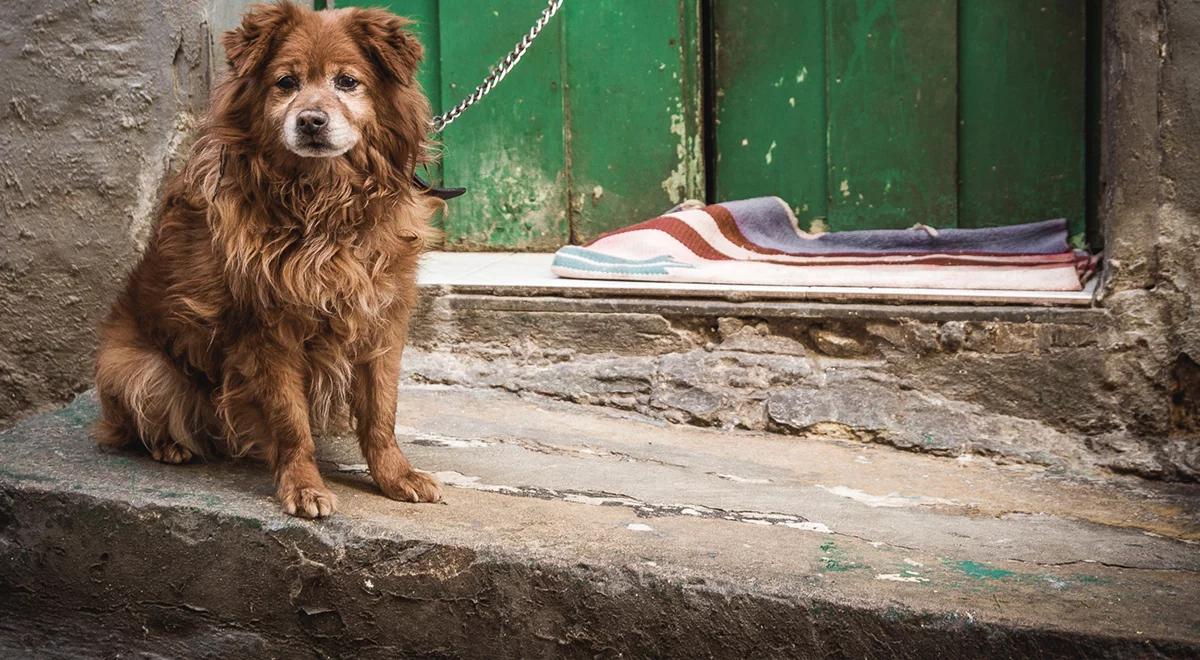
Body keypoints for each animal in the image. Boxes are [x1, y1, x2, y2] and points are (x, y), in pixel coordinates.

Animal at [92, 2, 441, 520]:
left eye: (347, 81)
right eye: (286, 82)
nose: (311, 121)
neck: (322, 205)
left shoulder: (381, 317)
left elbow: (381, 413)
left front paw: (395, 476)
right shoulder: (266, 330)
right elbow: (290, 421)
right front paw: (303, 486)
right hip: (135, 368)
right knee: (134, 426)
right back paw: (171, 446)